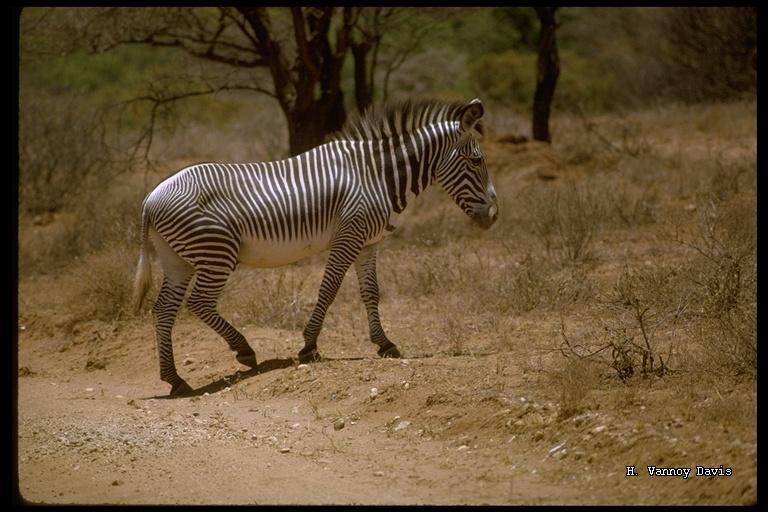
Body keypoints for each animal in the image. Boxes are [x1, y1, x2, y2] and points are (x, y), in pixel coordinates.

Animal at [132, 99, 498, 396]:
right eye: (476, 161)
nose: (494, 216)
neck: (376, 175)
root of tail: (150, 199)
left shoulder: (368, 244)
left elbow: (371, 292)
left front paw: (384, 343)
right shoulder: (349, 235)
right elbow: (329, 289)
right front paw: (309, 346)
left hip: (178, 260)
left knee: (164, 310)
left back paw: (176, 380)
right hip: (217, 252)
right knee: (199, 303)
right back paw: (244, 350)